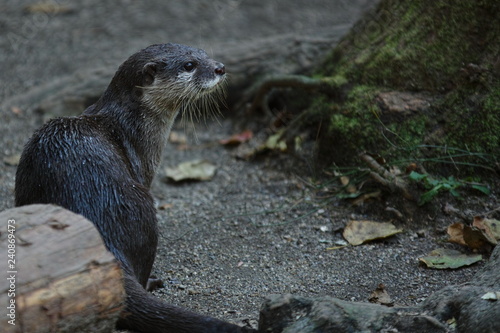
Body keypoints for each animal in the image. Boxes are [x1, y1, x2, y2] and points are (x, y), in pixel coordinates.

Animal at [14, 44, 256, 332]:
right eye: (189, 65)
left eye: (204, 53)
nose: (220, 67)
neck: (131, 125)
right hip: (144, 209)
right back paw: (150, 282)